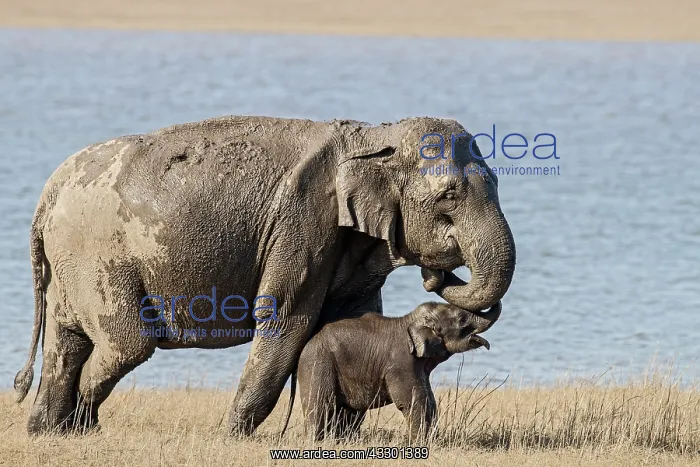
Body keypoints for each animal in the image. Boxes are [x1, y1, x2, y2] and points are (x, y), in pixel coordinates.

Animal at [280, 300, 501, 442]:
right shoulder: (401, 362)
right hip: (318, 363)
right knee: (320, 404)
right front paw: (421, 444)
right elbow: (413, 400)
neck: (410, 321)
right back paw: (315, 443)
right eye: (462, 319)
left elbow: (428, 399)